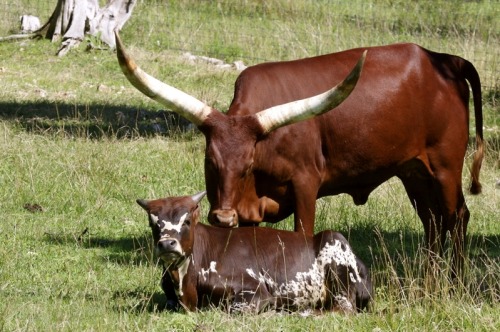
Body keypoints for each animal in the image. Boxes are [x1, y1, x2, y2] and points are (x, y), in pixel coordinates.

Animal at [115, 31, 482, 274]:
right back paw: (430, 273)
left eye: (248, 164)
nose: (222, 217)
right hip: (414, 171)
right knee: (433, 220)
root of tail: (443, 59)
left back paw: (456, 277)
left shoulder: (306, 183)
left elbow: (302, 233)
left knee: (457, 215)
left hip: (446, 166)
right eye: (210, 161)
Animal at [136, 192, 372, 314]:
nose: (167, 244)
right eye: (153, 223)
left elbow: (235, 309)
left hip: (337, 265)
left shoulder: (255, 289)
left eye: (185, 221)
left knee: (341, 308)